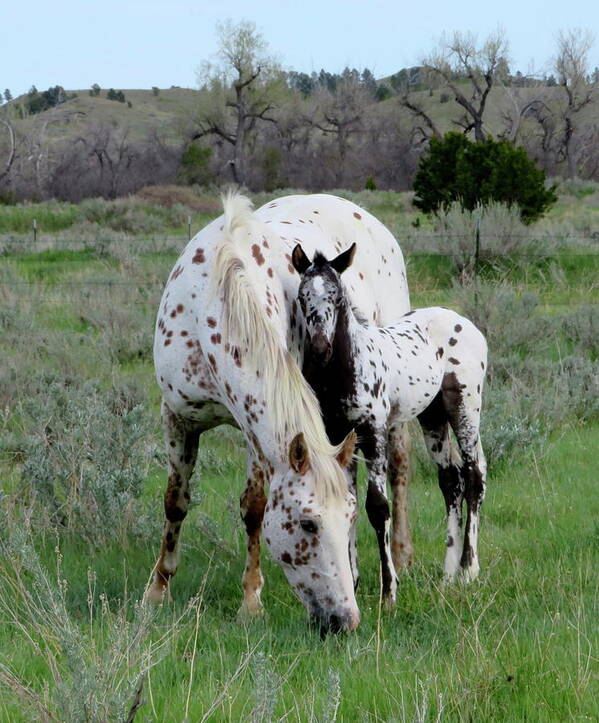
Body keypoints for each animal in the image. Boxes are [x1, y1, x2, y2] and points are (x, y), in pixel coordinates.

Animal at [148, 194, 412, 632]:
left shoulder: (255, 432)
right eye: (308, 523)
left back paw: (403, 554)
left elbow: (254, 507)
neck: (215, 302)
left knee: (400, 467)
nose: (344, 619)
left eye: (348, 518)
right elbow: (175, 501)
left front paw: (250, 600)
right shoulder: (178, 417)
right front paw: (159, 588)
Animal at [292, 242, 490, 592]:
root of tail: (464, 323)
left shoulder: (374, 433)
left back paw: (469, 569)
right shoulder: (336, 436)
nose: (320, 349)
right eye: (303, 297)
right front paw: (353, 581)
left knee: (473, 474)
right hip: (432, 416)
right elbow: (348, 502)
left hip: (465, 407)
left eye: (337, 296)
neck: (345, 371)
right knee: (450, 479)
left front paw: (389, 587)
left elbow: (377, 505)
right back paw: (448, 573)